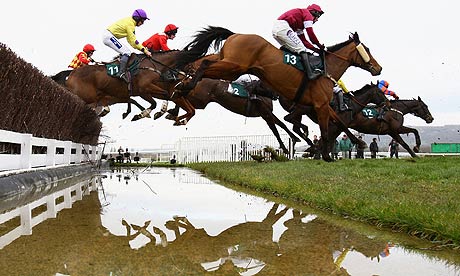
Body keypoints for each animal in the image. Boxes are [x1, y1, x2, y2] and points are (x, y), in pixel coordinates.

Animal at [63, 50, 196, 125]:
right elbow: (158, 100)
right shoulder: (144, 90)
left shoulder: (149, 91)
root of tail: (71, 74)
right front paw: (149, 113)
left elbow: (164, 98)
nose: (192, 77)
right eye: (193, 60)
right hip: (85, 97)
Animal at [175, 25, 380, 162]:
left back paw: (181, 88)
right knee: (204, 64)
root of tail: (236, 35)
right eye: (367, 49)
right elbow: (325, 130)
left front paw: (358, 142)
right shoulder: (320, 106)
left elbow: (338, 122)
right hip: (233, 66)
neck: (325, 68)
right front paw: (325, 155)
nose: (379, 68)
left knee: (202, 62)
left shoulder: (321, 105)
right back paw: (183, 87)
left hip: (227, 63)